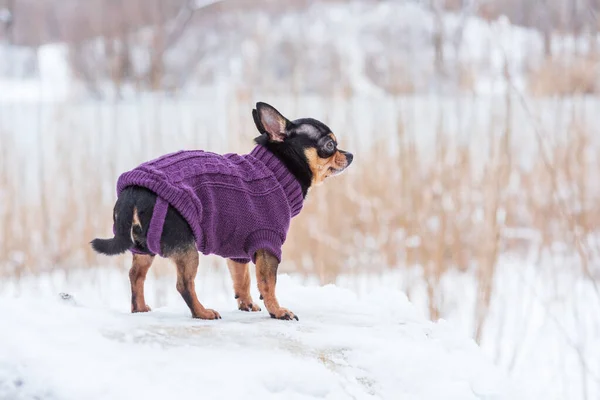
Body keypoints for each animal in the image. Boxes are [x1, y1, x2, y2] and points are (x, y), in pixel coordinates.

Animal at [91, 101, 354, 320]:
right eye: (330, 145)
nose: (350, 155)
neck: (276, 169)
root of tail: (133, 192)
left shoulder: (239, 248)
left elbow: (242, 278)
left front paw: (246, 303)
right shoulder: (268, 244)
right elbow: (268, 283)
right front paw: (278, 311)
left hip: (143, 247)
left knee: (136, 275)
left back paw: (140, 309)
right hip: (186, 248)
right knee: (183, 284)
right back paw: (202, 312)